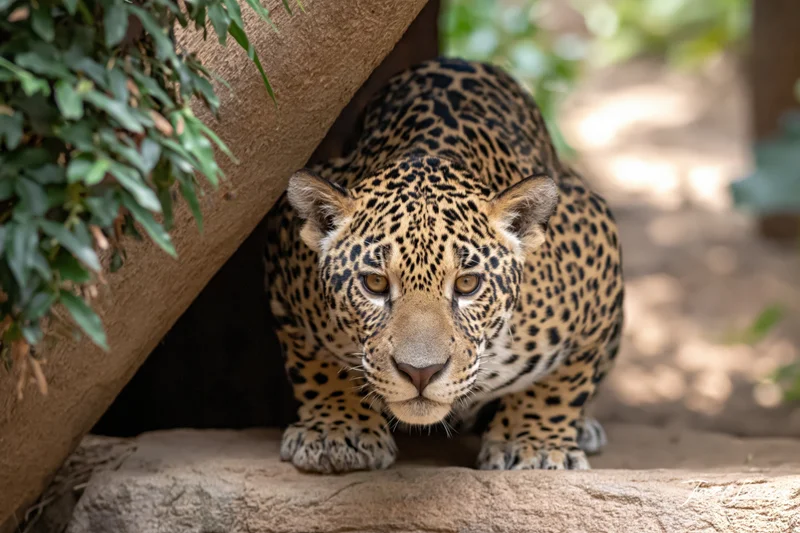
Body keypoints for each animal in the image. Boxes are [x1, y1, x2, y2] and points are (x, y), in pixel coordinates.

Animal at [263, 57, 624, 473]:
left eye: (468, 284)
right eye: (374, 284)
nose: (420, 372)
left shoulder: (599, 253)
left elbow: (562, 380)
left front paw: (535, 446)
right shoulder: (284, 272)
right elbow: (317, 363)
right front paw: (337, 431)